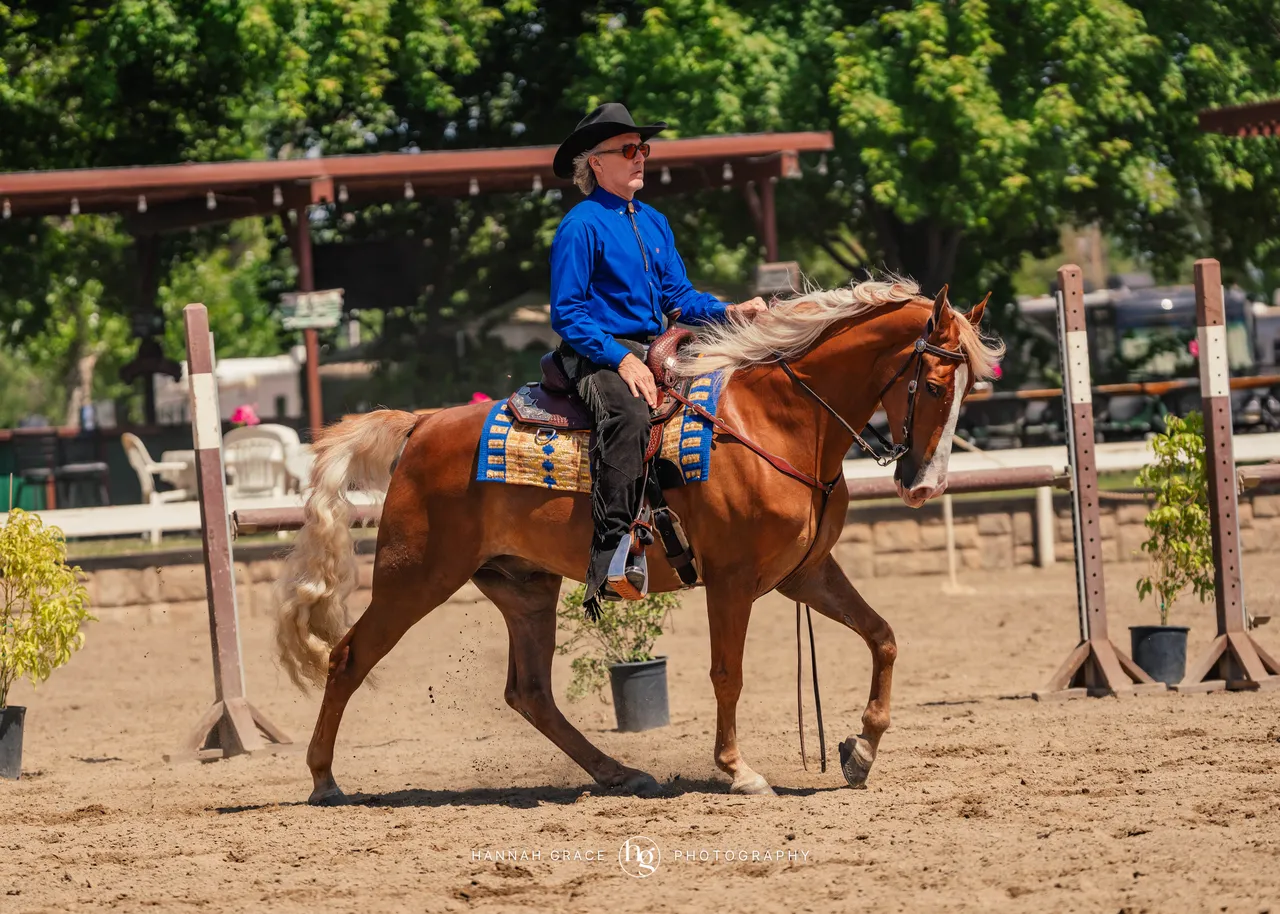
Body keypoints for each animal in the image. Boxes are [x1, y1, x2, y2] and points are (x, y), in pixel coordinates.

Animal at [275, 277, 1002, 804]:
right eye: (935, 383)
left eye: (972, 385)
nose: (924, 485)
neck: (776, 422)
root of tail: (422, 422)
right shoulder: (733, 580)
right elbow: (728, 673)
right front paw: (739, 770)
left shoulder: (807, 572)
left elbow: (883, 636)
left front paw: (862, 749)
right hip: (415, 576)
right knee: (348, 658)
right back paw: (324, 779)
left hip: (524, 588)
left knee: (530, 693)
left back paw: (620, 774)